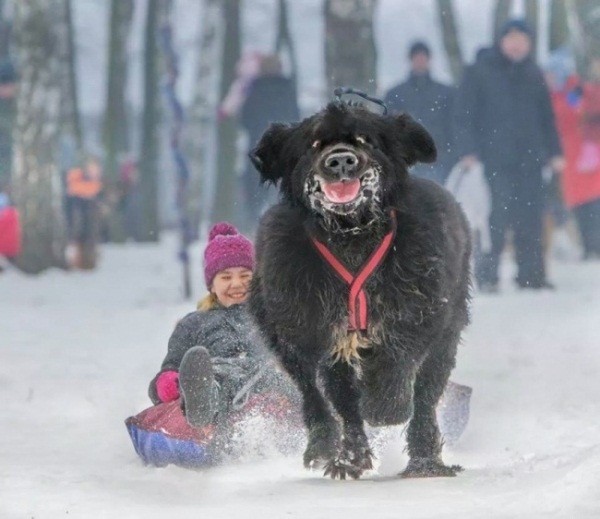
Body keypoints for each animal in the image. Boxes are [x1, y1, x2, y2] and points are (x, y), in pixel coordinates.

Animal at [247, 100, 468, 480]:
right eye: (314, 144)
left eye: (366, 139)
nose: (341, 160)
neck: (351, 234)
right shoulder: (313, 328)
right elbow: (336, 395)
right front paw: (346, 449)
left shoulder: (420, 309)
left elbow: (398, 357)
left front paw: (386, 406)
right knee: (317, 393)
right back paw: (332, 448)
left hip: (446, 335)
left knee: (425, 396)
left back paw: (424, 460)